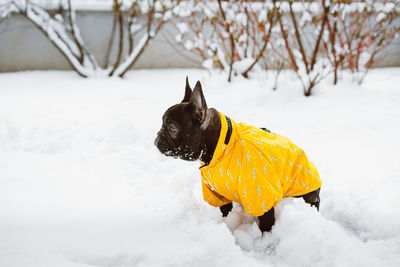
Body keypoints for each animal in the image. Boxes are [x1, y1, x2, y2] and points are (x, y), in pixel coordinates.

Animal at [155, 77, 320, 232]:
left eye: (172, 128)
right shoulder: (218, 194)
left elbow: (266, 222)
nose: (157, 136)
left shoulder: (260, 198)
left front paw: (266, 240)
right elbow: (225, 210)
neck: (220, 151)